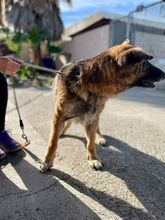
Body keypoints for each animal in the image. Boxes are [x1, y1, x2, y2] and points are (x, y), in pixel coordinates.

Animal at [40, 40, 165, 173]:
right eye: (145, 62)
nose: (164, 74)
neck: (89, 85)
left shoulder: (92, 118)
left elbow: (90, 143)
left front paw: (93, 159)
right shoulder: (58, 116)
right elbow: (52, 142)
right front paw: (47, 161)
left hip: (96, 115)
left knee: (96, 129)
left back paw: (99, 137)